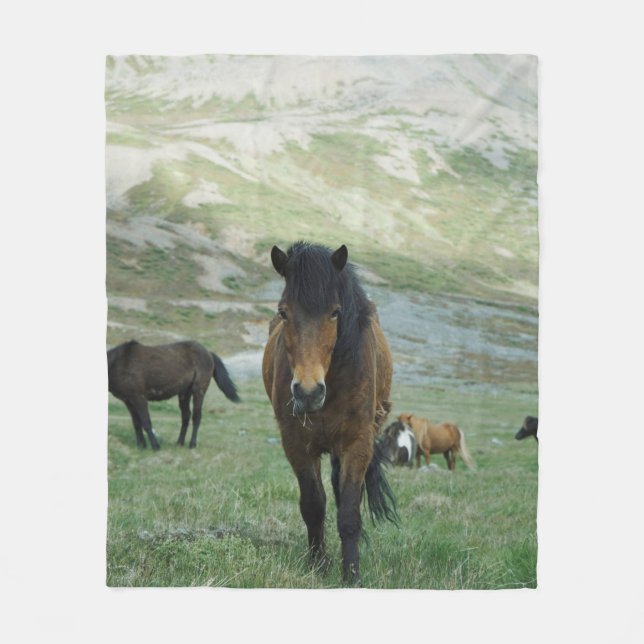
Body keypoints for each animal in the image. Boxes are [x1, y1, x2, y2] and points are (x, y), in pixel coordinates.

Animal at [107, 340, 240, 449]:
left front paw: (155, 446)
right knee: (186, 416)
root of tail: (208, 353)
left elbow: (146, 422)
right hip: (184, 393)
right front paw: (141, 446)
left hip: (199, 391)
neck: (119, 362)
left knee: (196, 417)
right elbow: (137, 424)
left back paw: (192, 444)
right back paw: (179, 443)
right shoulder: (129, 401)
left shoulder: (139, 398)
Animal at [262, 242, 398, 584]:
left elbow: (348, 512)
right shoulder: (297, 444)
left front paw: (351, 575)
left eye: (335, 312)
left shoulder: (357, 444)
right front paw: (318, 565)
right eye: (284, 312)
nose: (308, 392)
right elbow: (313, 506)